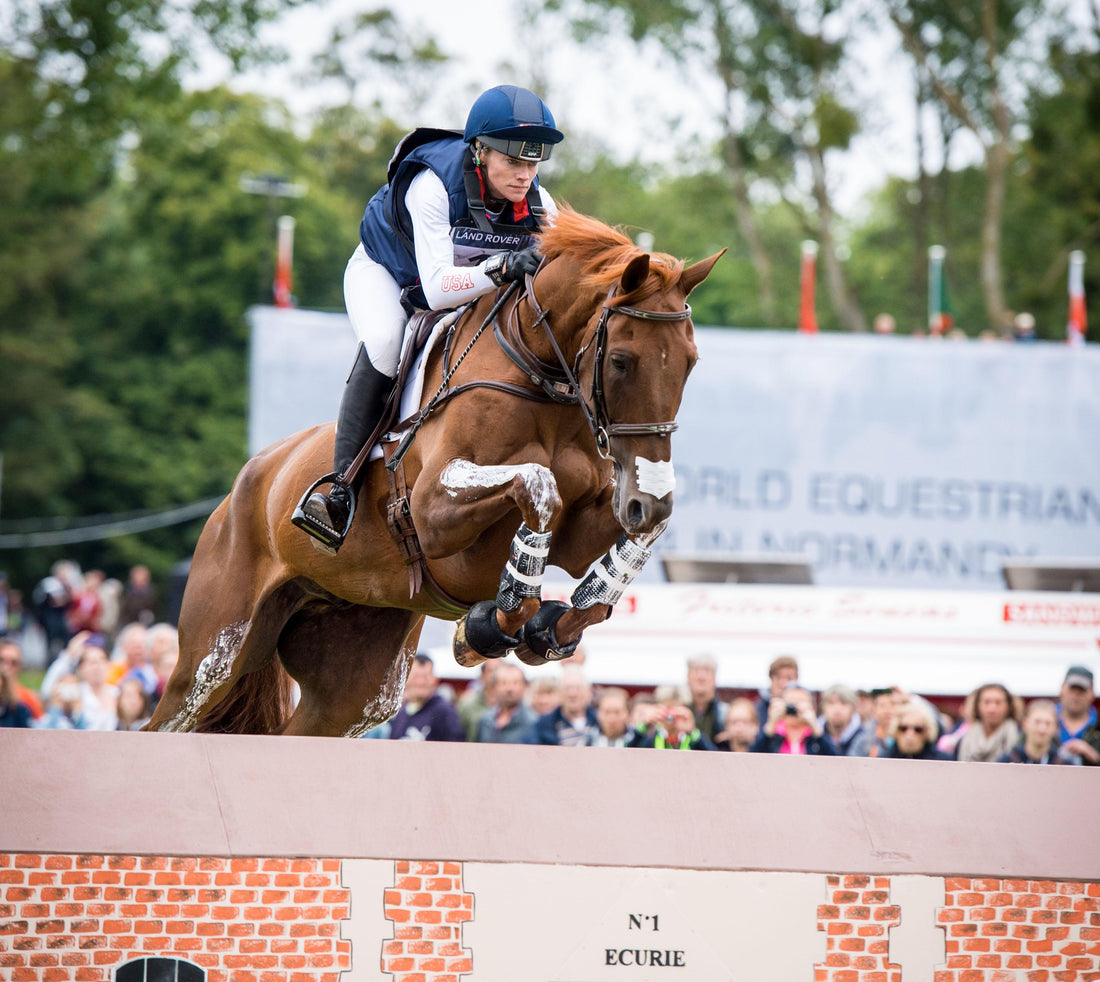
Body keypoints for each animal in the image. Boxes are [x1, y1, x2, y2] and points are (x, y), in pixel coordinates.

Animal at [146, 212, 726, 734]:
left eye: (691, 362)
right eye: (623, 360)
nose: (647, 498)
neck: (539, 375)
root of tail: (243, 485)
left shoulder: (581, 534)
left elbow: (623, 543)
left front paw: (549, 627)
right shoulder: (430, 512)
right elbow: (538, 485)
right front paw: (493, 622)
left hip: (354, 690)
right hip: (214, 656)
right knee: (171, 715)